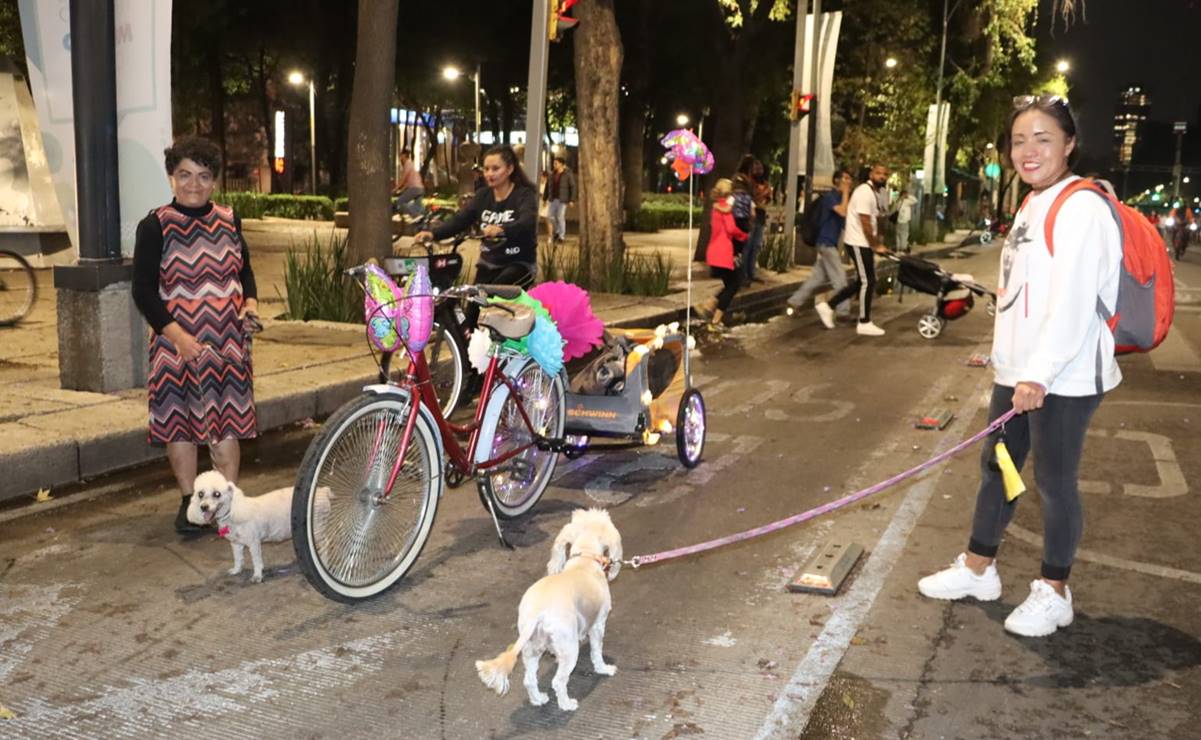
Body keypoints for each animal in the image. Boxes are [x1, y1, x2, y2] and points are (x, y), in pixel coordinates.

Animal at [475, 509, 624, 711]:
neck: (584, 559)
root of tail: (537, 611)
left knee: (529, 680)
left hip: (531, 649)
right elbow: (596, 652)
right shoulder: (598, 625)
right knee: (558, 682)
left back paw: (538, 699)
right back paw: (567, 704)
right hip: (569, 650)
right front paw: (604, 669)